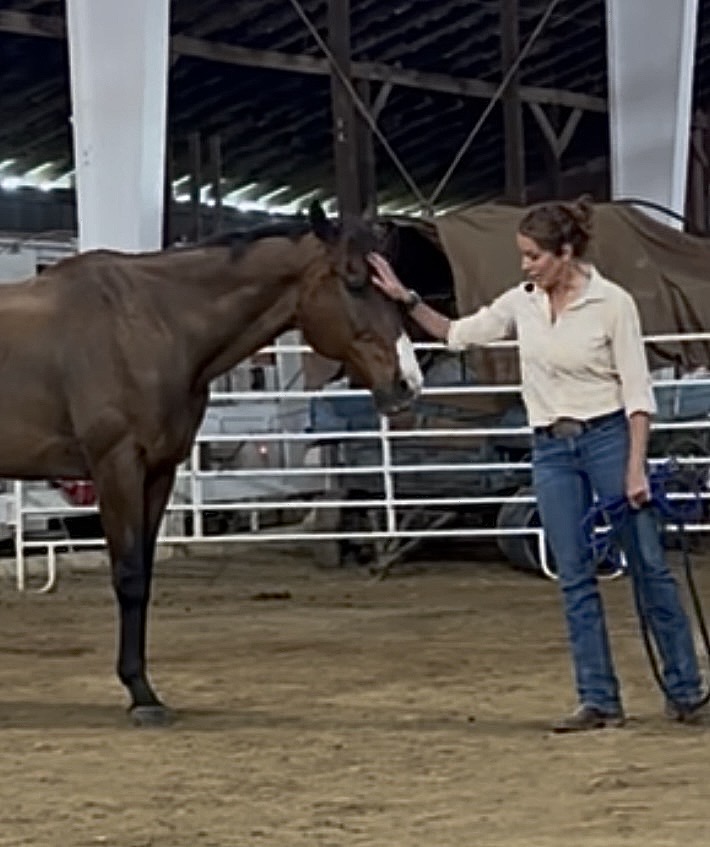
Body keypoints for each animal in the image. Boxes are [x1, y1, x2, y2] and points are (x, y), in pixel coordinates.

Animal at [0, 200, 423, 726]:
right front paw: (141, 696)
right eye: (354, 280)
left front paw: (143, 687)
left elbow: (144, 575)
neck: (145, 324)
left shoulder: (159, 471)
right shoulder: (116, 465)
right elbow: (129, 575)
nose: (408, 382)